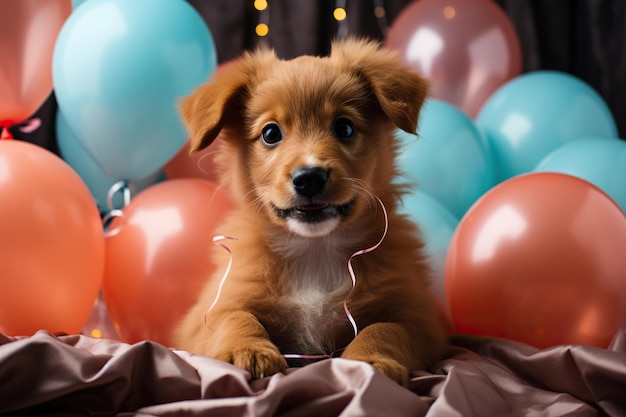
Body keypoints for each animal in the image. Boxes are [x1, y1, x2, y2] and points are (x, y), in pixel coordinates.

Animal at [172, 39, 448, 386]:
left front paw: (369, 360)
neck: (315, 250)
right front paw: (247, 349)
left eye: (344, 127)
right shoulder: (204, 315)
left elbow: (383, 329)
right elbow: (233, 317)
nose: (309, 178)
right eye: (271, 133)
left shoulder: (422, 320)